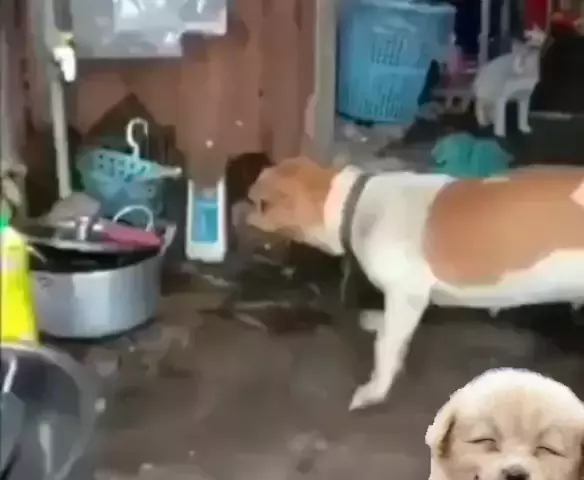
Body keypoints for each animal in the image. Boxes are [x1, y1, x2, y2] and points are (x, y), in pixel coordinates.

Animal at [246, 156, 584, 410]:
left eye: (256, 203)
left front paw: (375, 389)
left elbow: (386, 347)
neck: (355, 207)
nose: (240, 216)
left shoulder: (405, 295)